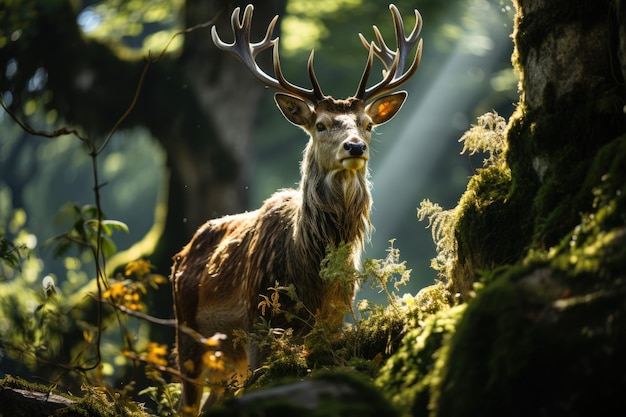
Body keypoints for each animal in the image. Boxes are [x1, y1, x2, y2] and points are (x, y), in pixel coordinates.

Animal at [173, 3, 422, 412]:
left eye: (367, 124)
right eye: (320, 124)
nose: (355, 146)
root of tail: (180, 255)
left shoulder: (333, 322)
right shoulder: (260, 321)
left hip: (225, 358)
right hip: (187, 333)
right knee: (187, 402)